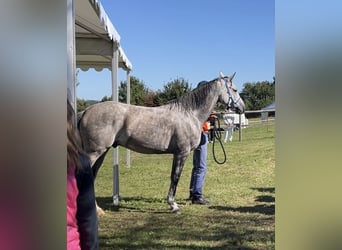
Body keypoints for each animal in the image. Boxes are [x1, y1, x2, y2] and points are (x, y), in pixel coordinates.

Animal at [78, 72, 243, 213]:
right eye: (234, 89)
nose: (242, 107)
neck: (189, 114)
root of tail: (85, 111)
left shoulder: (177, 154)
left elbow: (173, 176)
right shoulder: (182, 153)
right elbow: (175, 177)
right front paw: (173, 205)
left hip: (102, 152)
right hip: (94, 152)